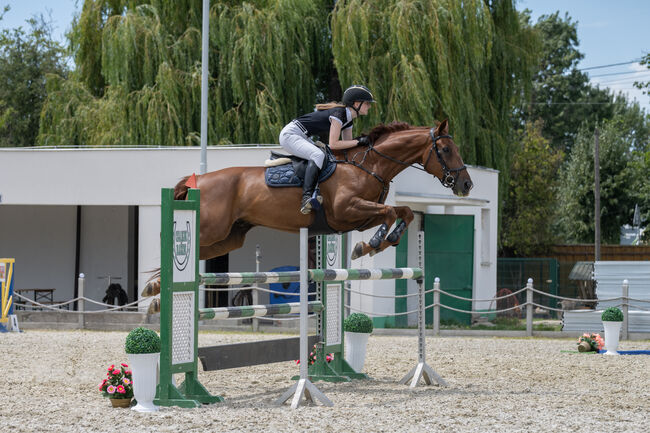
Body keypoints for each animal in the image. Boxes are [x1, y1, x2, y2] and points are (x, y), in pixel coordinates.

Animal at [142, 120, 468, 298]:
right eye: (446, 150)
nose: (466, 184)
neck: (369, 164)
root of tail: (198, 182)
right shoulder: (347, 210)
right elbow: (389, 213)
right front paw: (370, 245)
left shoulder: (357, 218)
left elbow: (405, 212)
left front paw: (379, 242)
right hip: (211, 228)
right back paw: (155, 290)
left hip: (228, 238)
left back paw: (155, 290)